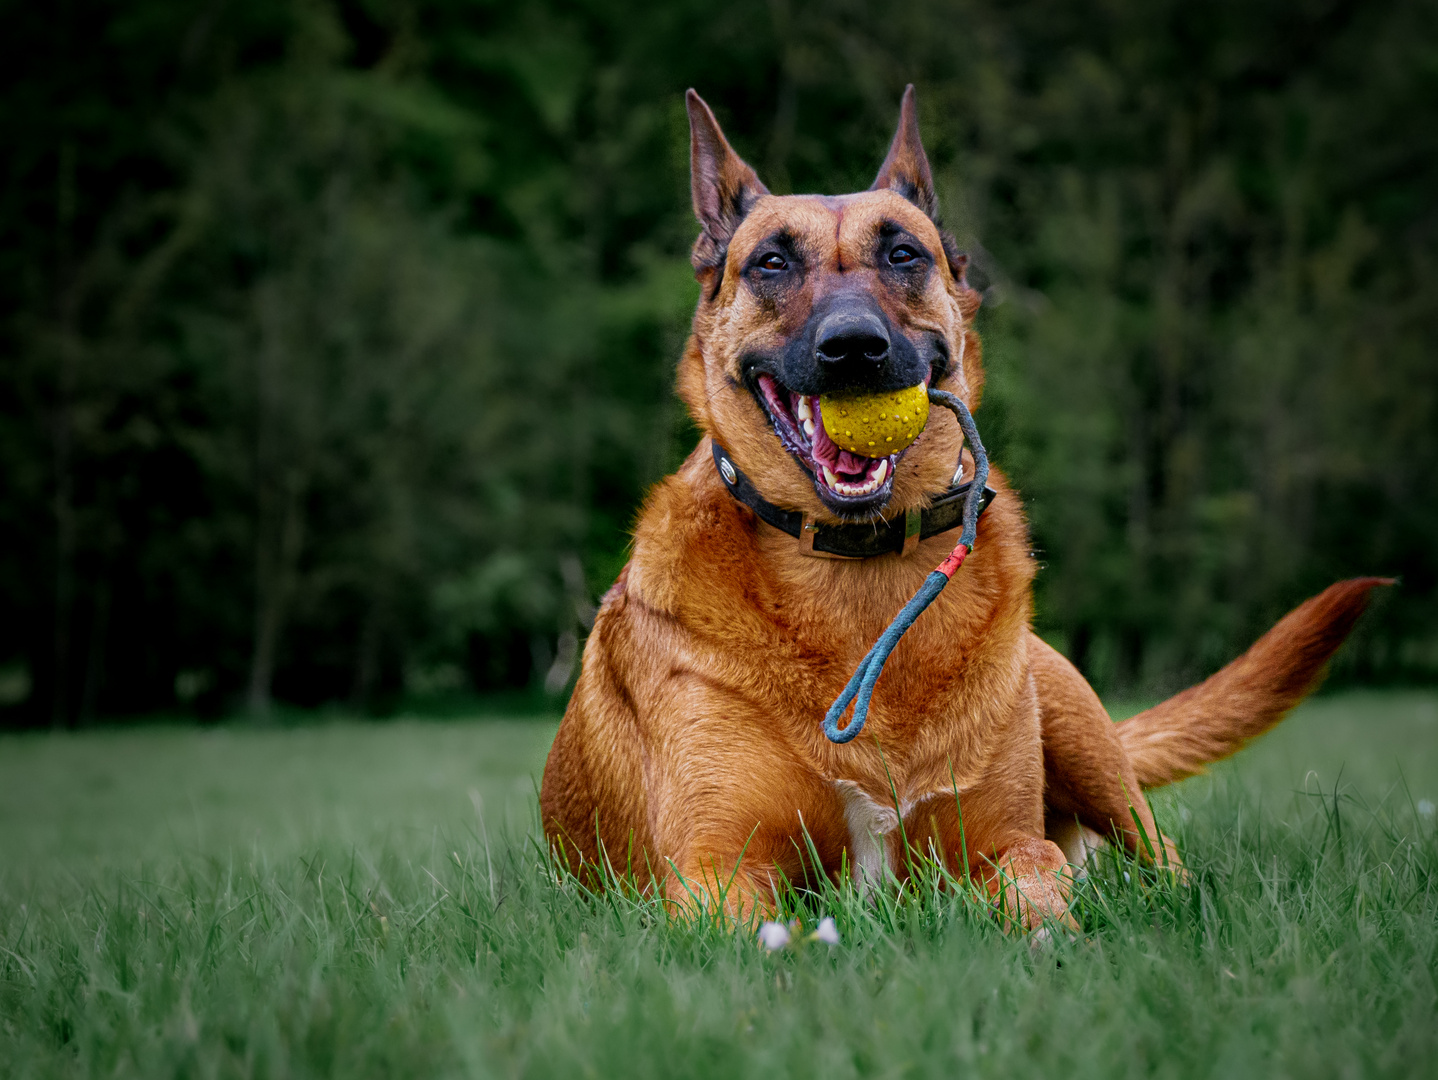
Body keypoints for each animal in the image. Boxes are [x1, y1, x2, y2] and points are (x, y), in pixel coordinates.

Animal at [537, 84, 1380, 931]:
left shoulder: (1008, 847)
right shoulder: (716, 873)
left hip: (1082, 735)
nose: (854, 347)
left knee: (1164, 866)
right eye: (772, 261)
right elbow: (778, 936)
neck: (859, 574)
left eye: (903, 254)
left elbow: (1045, 908)